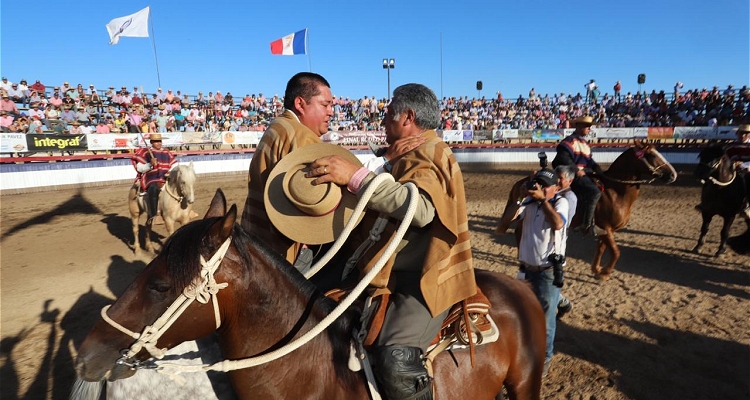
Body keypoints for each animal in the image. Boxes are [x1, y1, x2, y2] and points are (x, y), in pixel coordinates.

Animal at [496, 142, 680, 280]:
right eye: (651, 155)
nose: (673, 175)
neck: (615, 191)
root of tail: (522, 181)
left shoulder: (605, 230)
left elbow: (602, 248)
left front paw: (596, 269)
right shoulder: (606, 228)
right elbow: (616, 252)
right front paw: (605, 273)